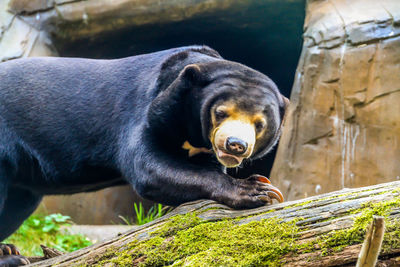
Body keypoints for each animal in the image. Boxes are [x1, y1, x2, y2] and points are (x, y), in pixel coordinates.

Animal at [0, 46, 288, 266]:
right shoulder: (146, 111)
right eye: (221, 112)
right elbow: (148, 167)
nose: (235, 145)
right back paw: (12, 256)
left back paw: (9, 249)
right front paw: (259, 190)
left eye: (260, 124)